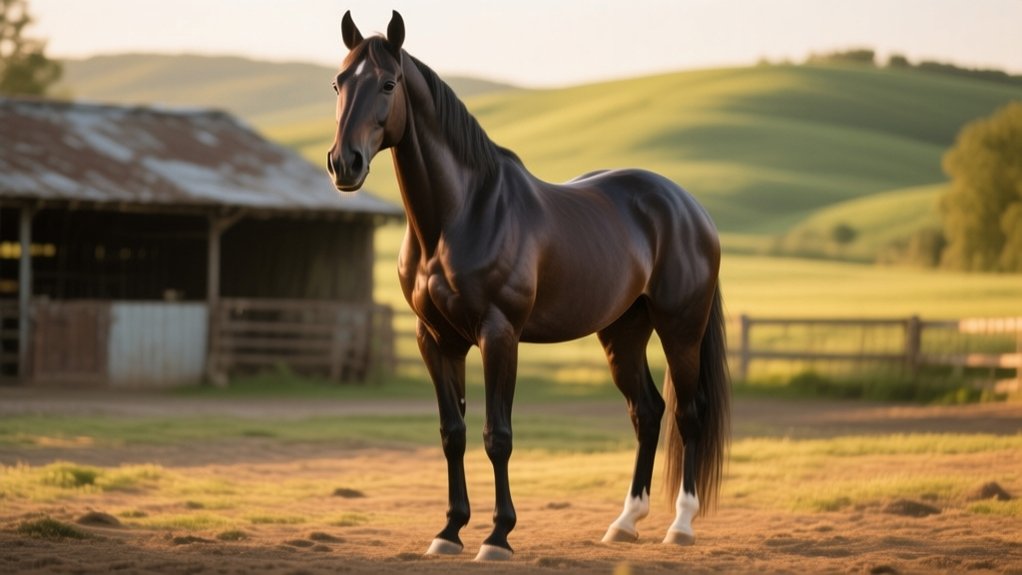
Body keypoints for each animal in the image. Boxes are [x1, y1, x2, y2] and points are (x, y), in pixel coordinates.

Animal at [326, 10, 730, 561]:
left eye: (388, 83)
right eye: (338, 83)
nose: (344, 164)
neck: (460, 216)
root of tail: (689, 207)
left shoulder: (499, 336)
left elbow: (498, 435)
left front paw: (498, 536)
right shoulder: (436, 340)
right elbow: (453, 433)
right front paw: (449, 530)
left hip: (680, 331)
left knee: (688, 415)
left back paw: (682, 525)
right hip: (623, 333)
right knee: (647, 413)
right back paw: (625, 523)